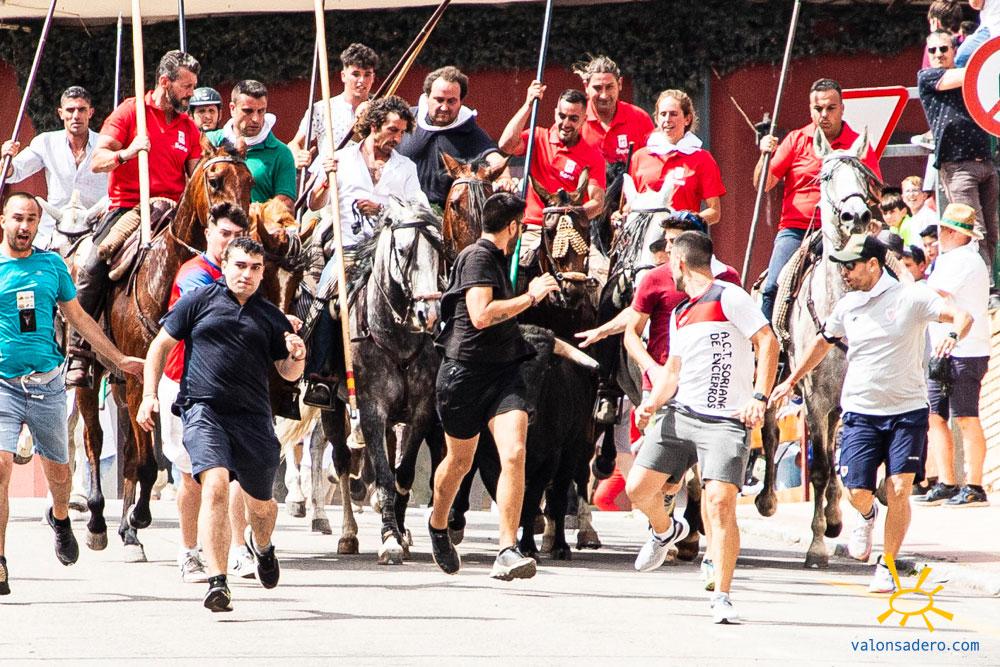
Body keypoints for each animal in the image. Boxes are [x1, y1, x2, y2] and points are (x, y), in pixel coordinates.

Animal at [75, 139, 253, 560]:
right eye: (215, 179)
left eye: (250, 180)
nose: (240, 226)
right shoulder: (143, 380)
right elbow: (145, 462)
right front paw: (137, 518)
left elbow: (147, 458)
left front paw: (134, 523)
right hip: (92, 375)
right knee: (94, 441)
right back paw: (96, 523)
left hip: (121, 383)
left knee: (124, 451)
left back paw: (126, 532)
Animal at [756, 127, 880, 568]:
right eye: (825, 176)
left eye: (866, 177)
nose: (855, 215)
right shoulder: (813, 395)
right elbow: (822, 467)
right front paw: (816, 547)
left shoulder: (849, 397)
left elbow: (846, 461)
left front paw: (834, 523)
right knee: (771, 432)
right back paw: (767, 501)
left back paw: (833, 515)